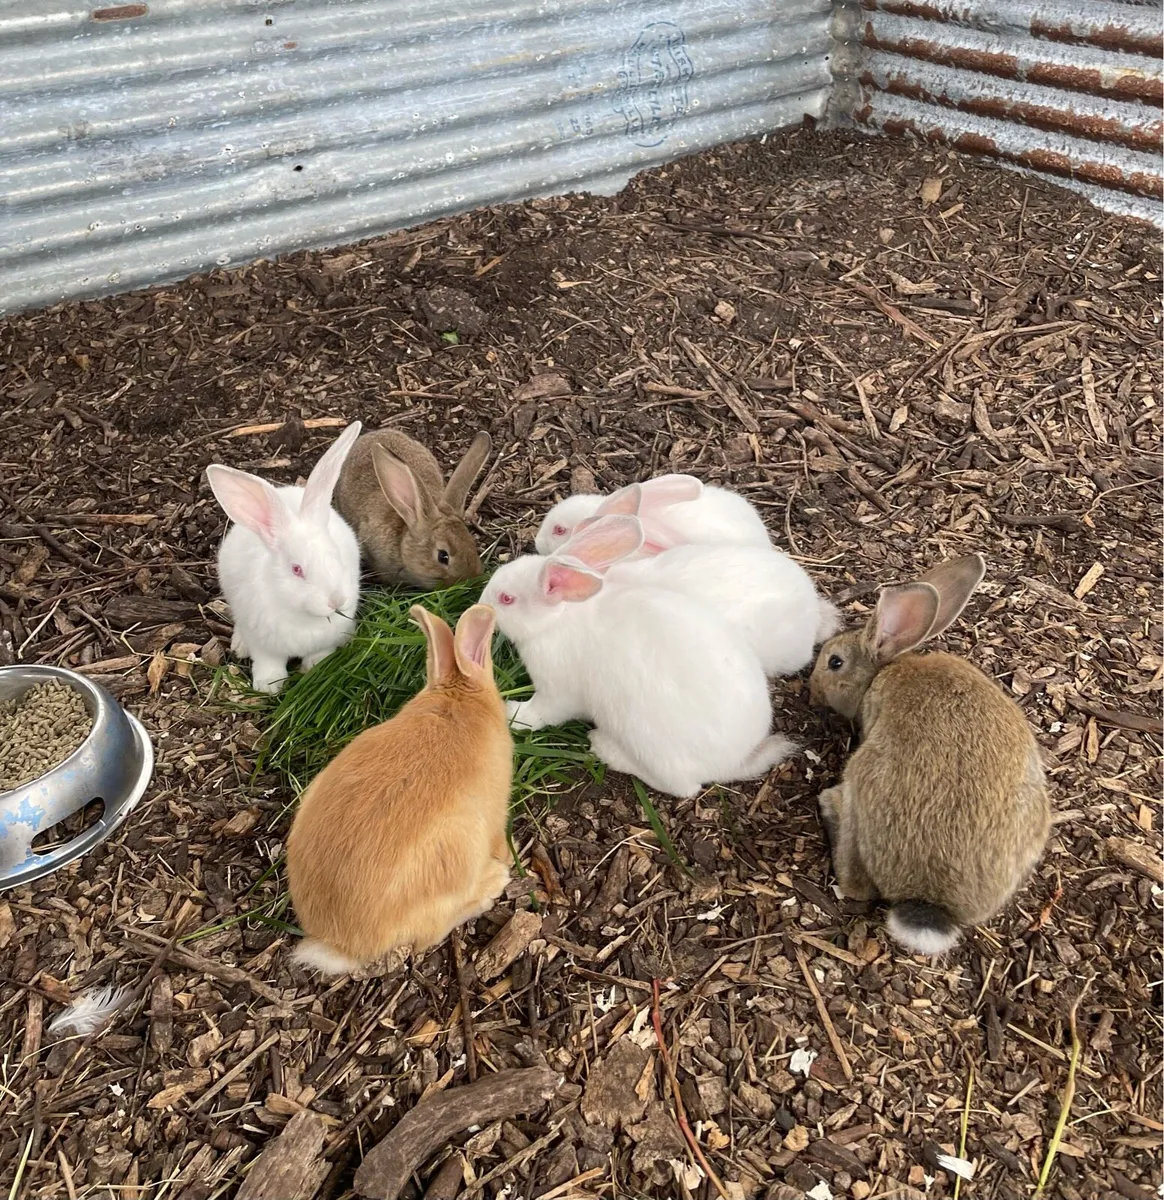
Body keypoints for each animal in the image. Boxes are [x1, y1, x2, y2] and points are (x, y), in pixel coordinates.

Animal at [207, 421, 363, 695]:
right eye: (296, 570)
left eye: (335, 555)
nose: (337, 601)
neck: (303, 616)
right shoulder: (264, 645)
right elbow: (268, 663)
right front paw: (268, 687)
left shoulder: (325, 641)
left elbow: (320, 654)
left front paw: (313, 669)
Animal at [286, 603, 513, 975]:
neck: (457, 698)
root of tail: (341, 944)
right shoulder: (494, 816)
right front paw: (509, 857)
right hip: (459, 850)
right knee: (432, 932)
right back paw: (492, 885)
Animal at [481, 516, 792, 799]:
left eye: (506, 599)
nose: (480, 606)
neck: (561, 617)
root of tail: (734, 761)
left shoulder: (556, 692)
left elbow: (541, 713)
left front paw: (512, 713)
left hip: (650, 745)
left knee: (683, 788)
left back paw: (606, 748)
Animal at [808, 554, 1051, 957]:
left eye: (835, 662)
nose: (812, 687)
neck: (883, 669)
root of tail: (931, 902)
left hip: (863, 781)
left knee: (857, 884)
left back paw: (830, 804)